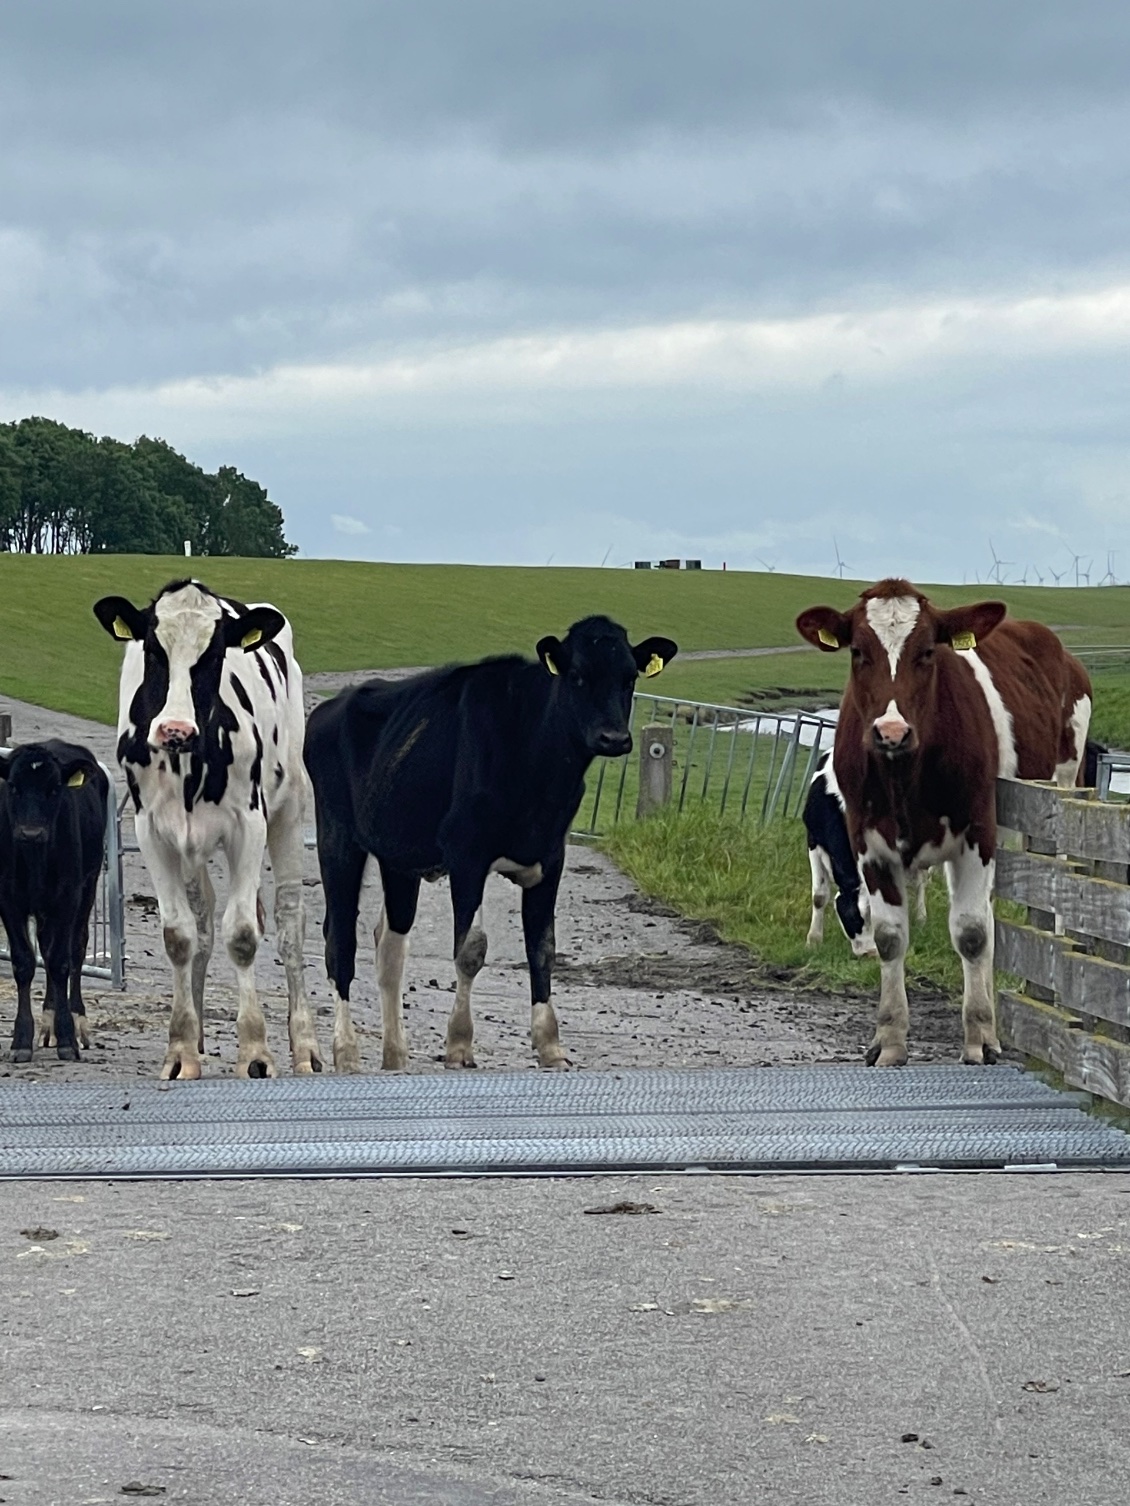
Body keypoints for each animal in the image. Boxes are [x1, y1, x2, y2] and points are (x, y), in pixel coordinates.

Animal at [0, 737, 109, 1060]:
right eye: (13, 786)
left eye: (54, 789)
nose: (31, 832)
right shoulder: (8, 899)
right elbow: (24, 961)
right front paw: (21, 1040)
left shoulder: (67, 896)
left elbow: (62, 961)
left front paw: (67, 1038)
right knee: (45, 950)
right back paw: (47, 1024)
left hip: (88, 886)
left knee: (75, 949)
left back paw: (76, 1021)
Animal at [92, 578, 322, 1084]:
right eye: (153, 649)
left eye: (215, 653)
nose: (175, 729)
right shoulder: (152, 829)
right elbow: (180, 936)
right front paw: (181, 1048)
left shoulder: (249, 824)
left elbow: (242, 934)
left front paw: (255, 1051)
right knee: (202, 921)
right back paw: (197, 1032)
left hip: (291, 806)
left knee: (290, 921)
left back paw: (306, 1045)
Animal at [302, 611, 681, 1072]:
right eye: (576, 675)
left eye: (629, 677)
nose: (613, 737)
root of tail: (330, 706)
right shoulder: (467, 854)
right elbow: (471, 949)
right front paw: (459, 1043)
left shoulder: (551, 856)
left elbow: (543, 948)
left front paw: (550, 1044)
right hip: (337, 836)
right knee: (340, 941)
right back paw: (346, 1050)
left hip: (399, 856)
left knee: (390, 945)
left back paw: (395, 1053)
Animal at [795, 578, 1096, 1072]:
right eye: (858, 651)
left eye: (927, 652)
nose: (891, 731)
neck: (904, 777)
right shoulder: (868, 843)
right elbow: (891, 937)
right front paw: (889, 1039)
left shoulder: (978, 832)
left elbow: (971, 934)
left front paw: (978, 1040)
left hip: (1058, 794)